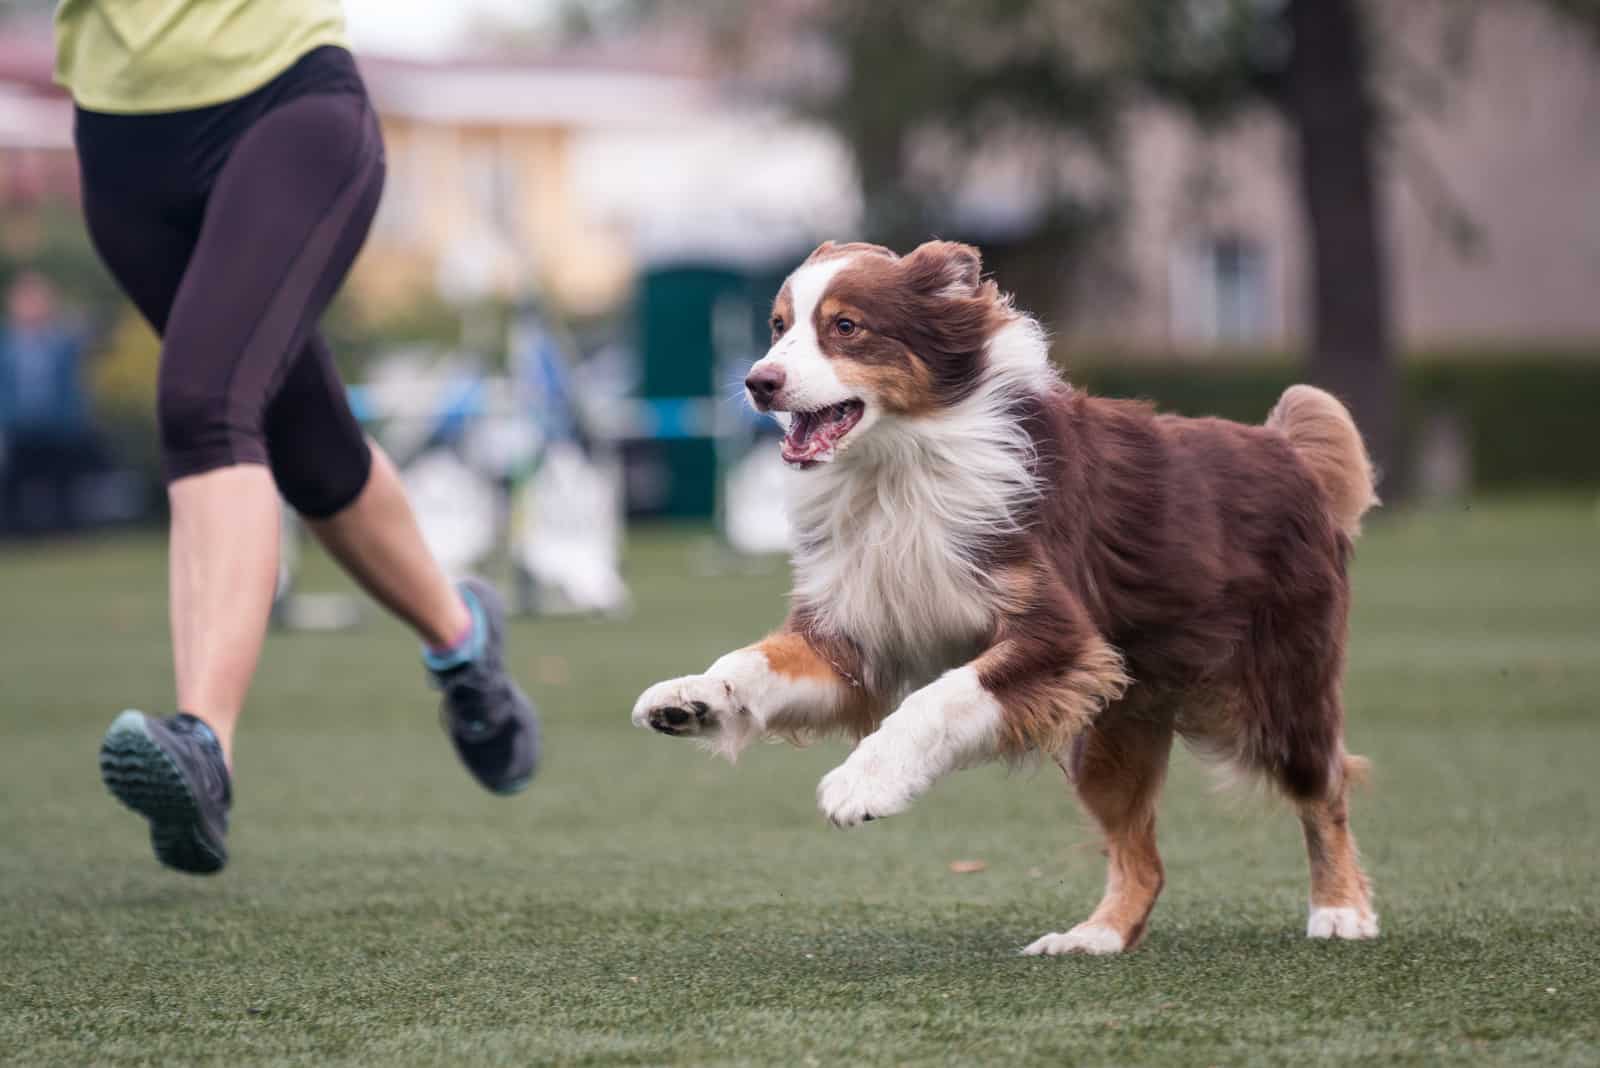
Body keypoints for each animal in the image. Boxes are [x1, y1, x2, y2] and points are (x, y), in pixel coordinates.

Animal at [630, 239, 1382, 952]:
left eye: (845, 326)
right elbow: (752, 662)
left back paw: (1341, 911)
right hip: (1114, 724)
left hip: (1277, 686)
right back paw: (1092, 937)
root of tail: (1287, 449)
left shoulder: (1060, 635)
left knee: (1327, 785)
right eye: (778, 327)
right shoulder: (852, 635)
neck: (898, 468)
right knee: (1142, 855)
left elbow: (936, 699)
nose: (758, 381)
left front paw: (861, 784)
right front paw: (691, 699)